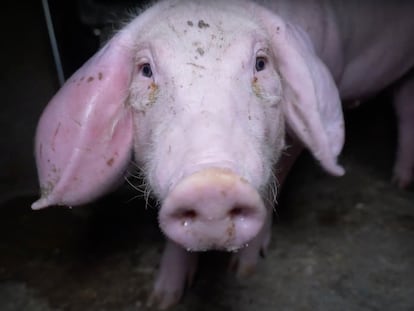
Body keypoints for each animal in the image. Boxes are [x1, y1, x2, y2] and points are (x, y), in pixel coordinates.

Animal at [31, 0, 414, 308]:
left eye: (261, 63)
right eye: (145, 70)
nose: (211, 185)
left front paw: (243, 270)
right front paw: (161, 300)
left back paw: (401, 184)